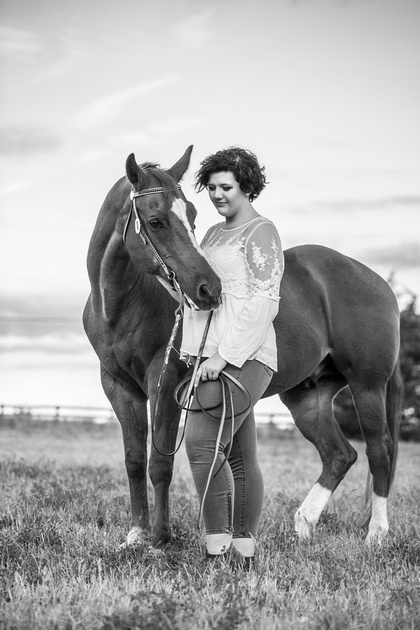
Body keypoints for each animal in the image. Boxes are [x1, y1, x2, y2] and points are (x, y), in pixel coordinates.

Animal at [83, 147, 402, 548]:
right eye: (155, 222)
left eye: (192, 215)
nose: (208, 289)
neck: (121, 304)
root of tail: (378, 283)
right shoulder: (118, 387)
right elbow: (135, 460)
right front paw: (137, 535)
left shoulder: (164, 381)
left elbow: (160, 463)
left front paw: (160, 538)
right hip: (308, 398)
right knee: (339, 455)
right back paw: (304, 524)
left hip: (367, 386)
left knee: (379, 451)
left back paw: (376, 533)